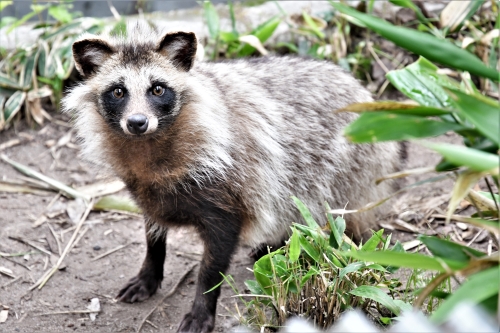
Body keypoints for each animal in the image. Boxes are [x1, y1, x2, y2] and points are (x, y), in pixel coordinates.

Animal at [64, 22, 402, 330]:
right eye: (118, 91)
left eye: (157, 89)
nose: (137, 122)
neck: (149, 147)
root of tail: (361, 89)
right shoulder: (146, 188)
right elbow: (152, 231)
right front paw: (150, 270)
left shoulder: (229, 192)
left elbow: (213, 264)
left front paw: (203, 306)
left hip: (348, 169)